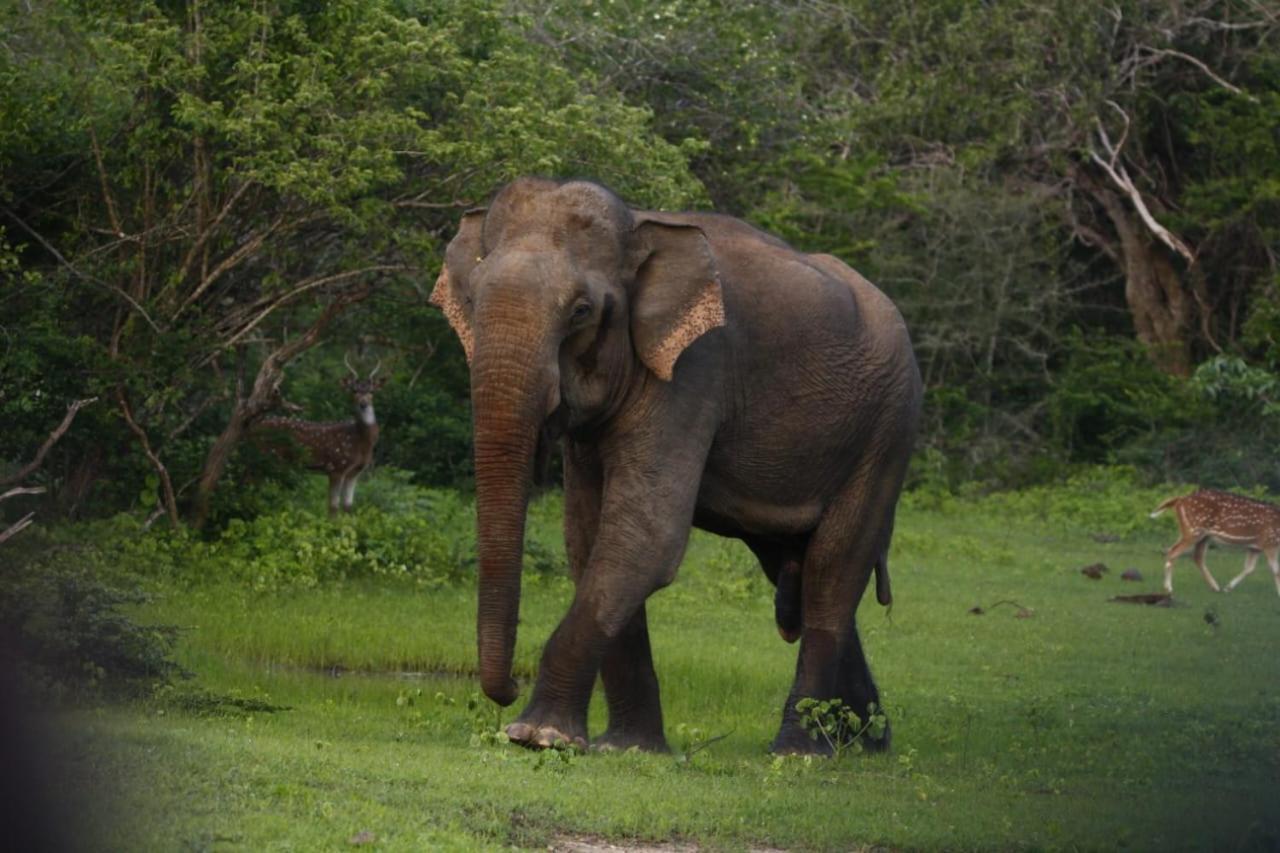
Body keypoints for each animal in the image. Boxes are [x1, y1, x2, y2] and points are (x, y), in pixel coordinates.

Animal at [252, 350, 384, 512]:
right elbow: (333, 506)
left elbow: (348, 506)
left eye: (371, 391)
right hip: (266, 454)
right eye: (354, 391)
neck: (360, 441)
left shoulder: (355, 472)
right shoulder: (336, 466)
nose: (363, 404)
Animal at [430, 178, 921, 753]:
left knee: (833, 569)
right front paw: (626, 748)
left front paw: (538, 736)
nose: (506, 690)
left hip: (888, 428)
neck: (641, 225)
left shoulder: (695, 370)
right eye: (471, 299)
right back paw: (865, 742)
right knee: (797, 567)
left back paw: (802, 750)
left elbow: (645, 537)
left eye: (580, 312)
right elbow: (589, 538)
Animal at [1152, 489, 1280, 594]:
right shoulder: (1270, 541)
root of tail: (1179, 499)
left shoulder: (1255, 547)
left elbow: (1249, 568)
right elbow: (1275, 570)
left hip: (1201, 535)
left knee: (1196, 557)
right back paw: (1169, 588)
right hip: (1194, 530)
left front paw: (1228, 587)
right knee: (1173, 552)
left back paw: (1215, 587)